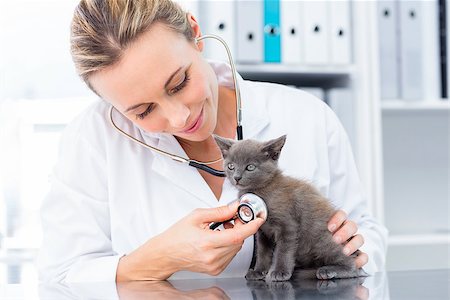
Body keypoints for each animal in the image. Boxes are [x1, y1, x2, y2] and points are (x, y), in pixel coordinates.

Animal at [213, 135, 368, 282]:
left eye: (250, 167)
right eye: (231, 166)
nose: (237, 177)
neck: (261, 191)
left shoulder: (288, 226)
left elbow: (283, 250)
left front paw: (280, 272)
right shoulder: (263, 231)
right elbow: (263, 252)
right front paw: (259, 271)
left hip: (323, 238)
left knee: (352, 265)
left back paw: (329, 270)